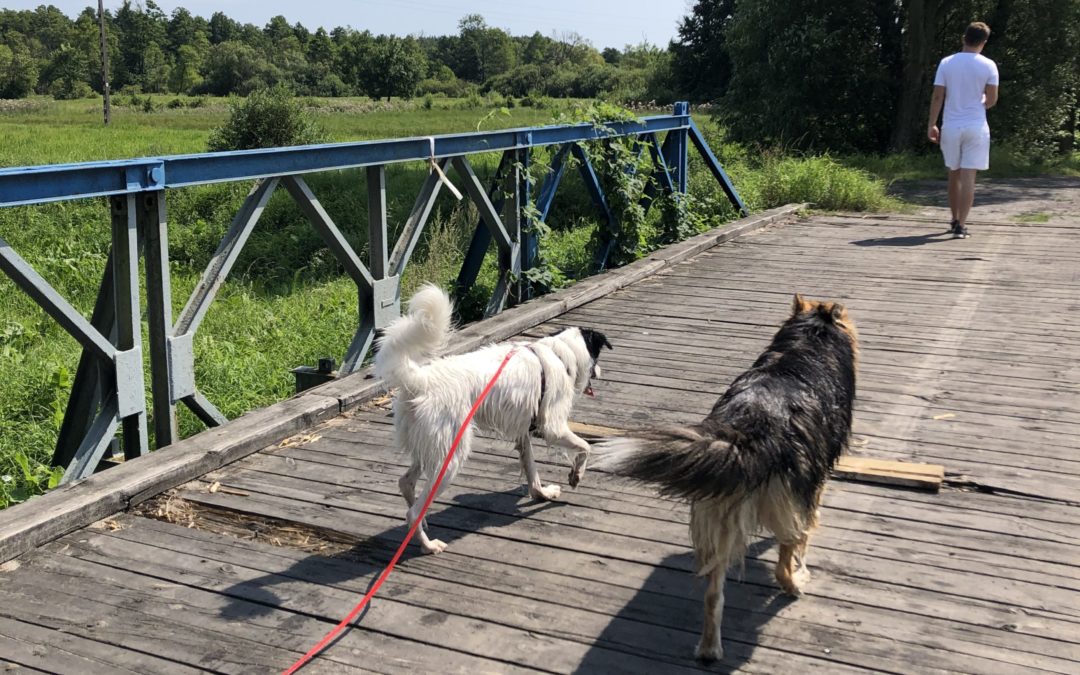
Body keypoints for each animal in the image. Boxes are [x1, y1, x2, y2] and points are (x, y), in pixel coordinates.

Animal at [373, 285, 613, 552]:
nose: (601, 371)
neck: (560, 353)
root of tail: (420, 380)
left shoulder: (523, 433)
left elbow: (532, 471)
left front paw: (542, 494)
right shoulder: (553, 428)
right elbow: (585, 448)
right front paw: (575, 476)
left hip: (432, 448)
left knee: (405, 483)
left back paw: (422, 524)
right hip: (450, 458)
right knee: (413, 511)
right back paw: (429, 545)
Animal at [596, 293, 855, 656]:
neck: (809, 339)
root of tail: (753, 427)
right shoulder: (812, 486)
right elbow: (804, 535)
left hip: (719, 517)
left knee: (712, 596)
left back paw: (709, 650)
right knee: (783, 561)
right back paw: (795, 584)